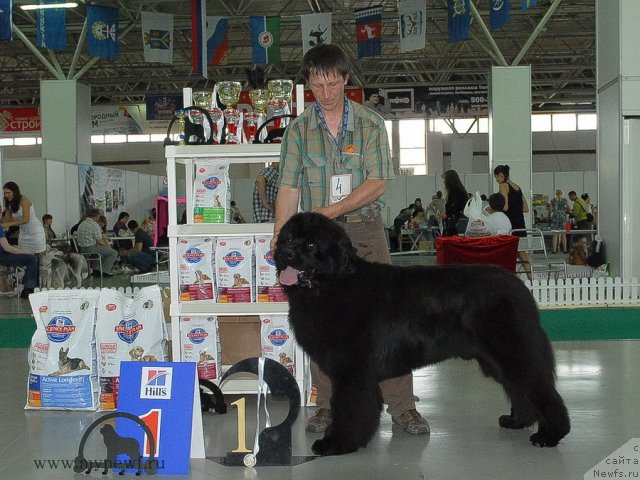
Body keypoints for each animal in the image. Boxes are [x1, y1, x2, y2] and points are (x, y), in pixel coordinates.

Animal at [276, 214, 568, 458]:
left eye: (311, 245)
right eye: (288, 238)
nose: (286, 253)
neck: (333, 284)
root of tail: (519, 285)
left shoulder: (352, 372)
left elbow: (349, 409)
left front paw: (336, 443)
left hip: (511, 350)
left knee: (539, 388)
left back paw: (550, 435)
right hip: (497, 359)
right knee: (519, 388)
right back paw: (517, 421)